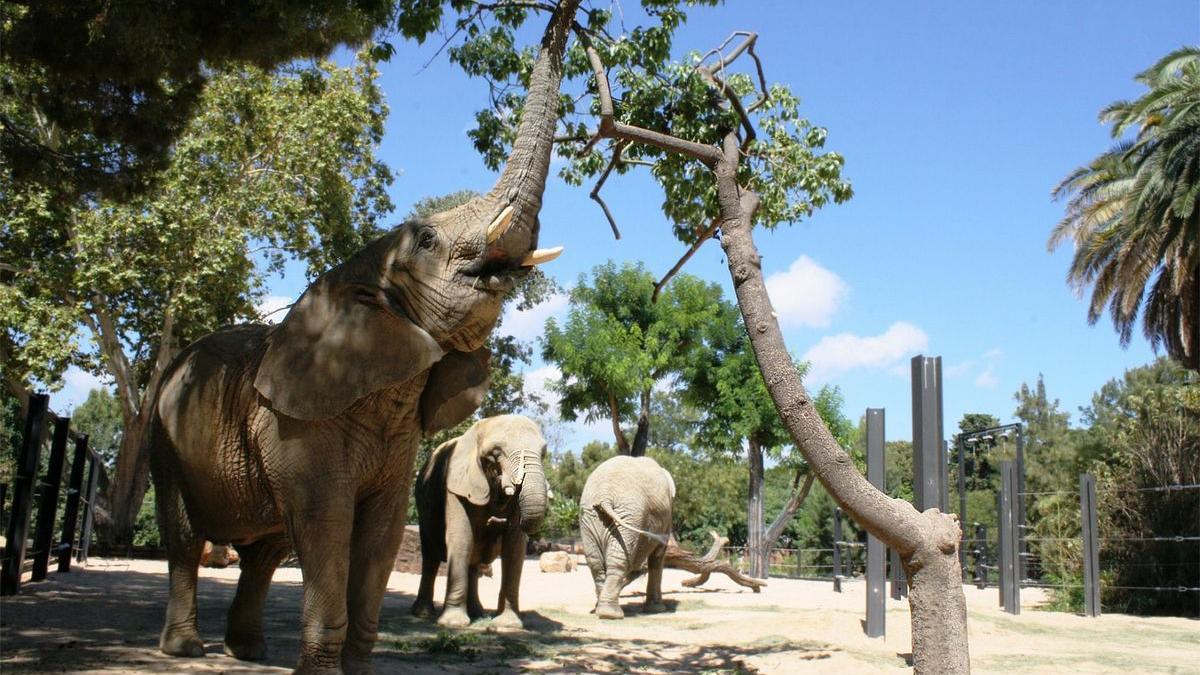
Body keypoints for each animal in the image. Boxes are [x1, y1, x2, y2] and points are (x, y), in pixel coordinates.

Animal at [408, 413, 549, 629]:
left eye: (543, 453)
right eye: (496, 453)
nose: (496, 520)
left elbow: (514, 548)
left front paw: (507, 625)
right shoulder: (455, 487)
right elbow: (461, 539)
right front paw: (453, 624)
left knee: (473, 562)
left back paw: (477, 612)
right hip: (423, 508)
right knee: (430, 558)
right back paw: (423, 614)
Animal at [578, 454, 676, 619]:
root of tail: (604, 496)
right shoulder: (666, 521)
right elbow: (658, 556)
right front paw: (658, 609)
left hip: (591, 518)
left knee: (595, 562)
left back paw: (600, 610)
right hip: (629, 515)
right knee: (618, 559)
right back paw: (612, 614)